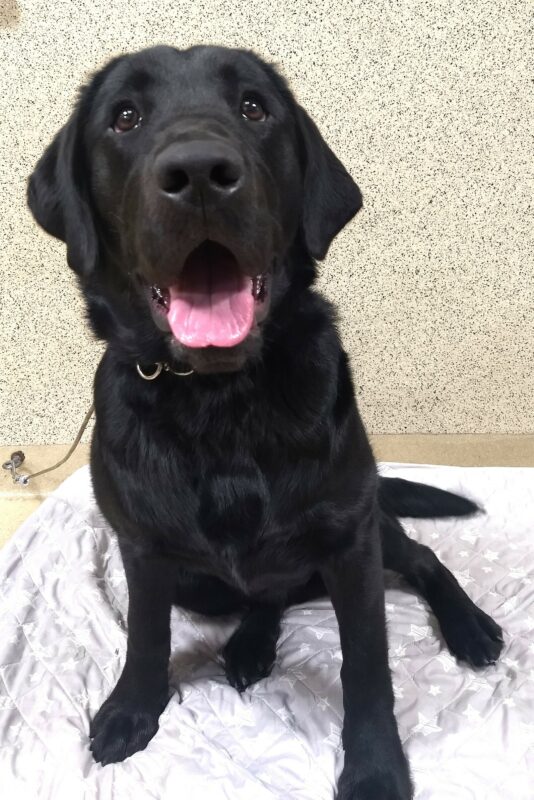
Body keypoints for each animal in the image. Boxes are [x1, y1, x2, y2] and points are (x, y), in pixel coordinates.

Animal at [28, 47, 506, 796]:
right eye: (124, 118)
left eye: (254, 108)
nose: (198, 172)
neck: (221, 398)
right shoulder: (143, 549)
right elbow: (145, 636)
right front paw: (133, 709)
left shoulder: (349, 542)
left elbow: (366, 665)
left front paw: (375, 766)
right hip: (201, 583)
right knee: (266, 593)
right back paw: (251, 645)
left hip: (372, 526)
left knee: (422, 559)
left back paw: (470, 627)